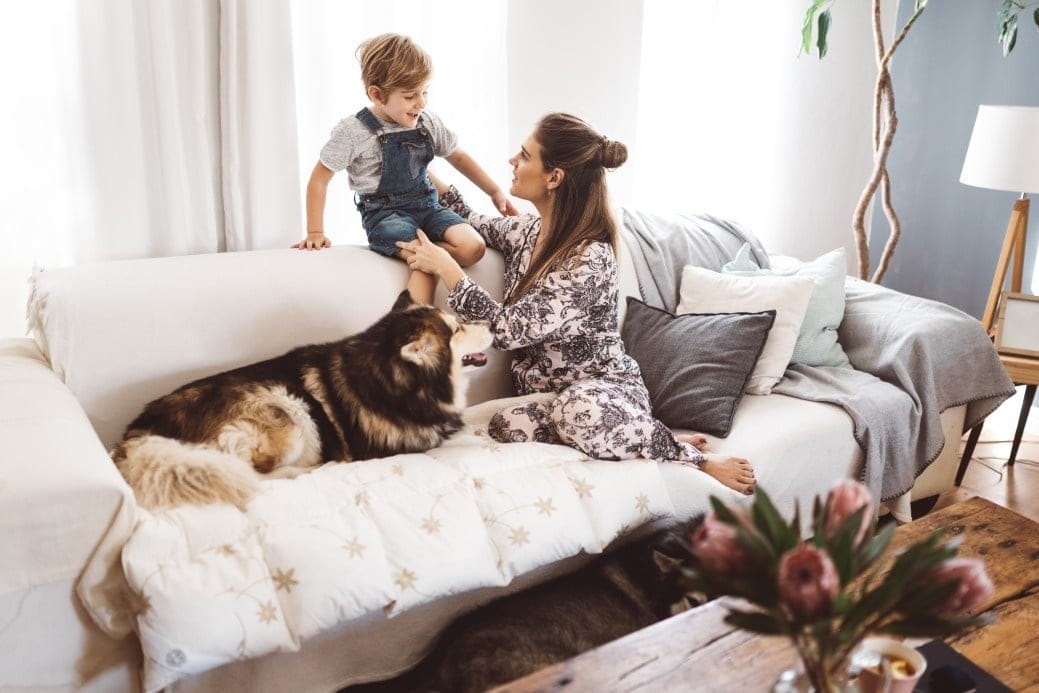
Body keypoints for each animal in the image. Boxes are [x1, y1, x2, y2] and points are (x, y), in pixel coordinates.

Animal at [111, 290, 492, 513]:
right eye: (457, 329)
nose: (490, 323)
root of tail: (139, 432)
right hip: (286, 408)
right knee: (253, 473)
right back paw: (307, 469)